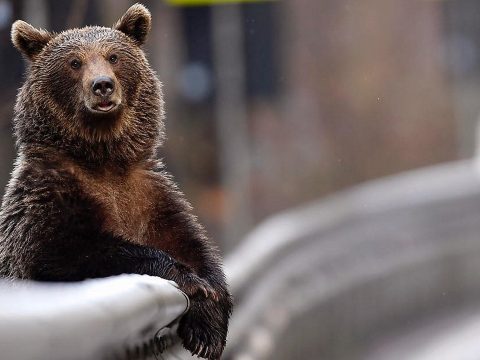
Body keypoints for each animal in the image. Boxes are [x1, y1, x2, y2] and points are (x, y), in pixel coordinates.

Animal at [0, 3, 232, 360]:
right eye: (74, 62)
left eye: (114, 56)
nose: (102, 85)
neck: (104, 161)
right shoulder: (47, 198)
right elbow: (65, 255)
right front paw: (188, 279)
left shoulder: (149, 195)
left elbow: (190, 244)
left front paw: (207, 326)